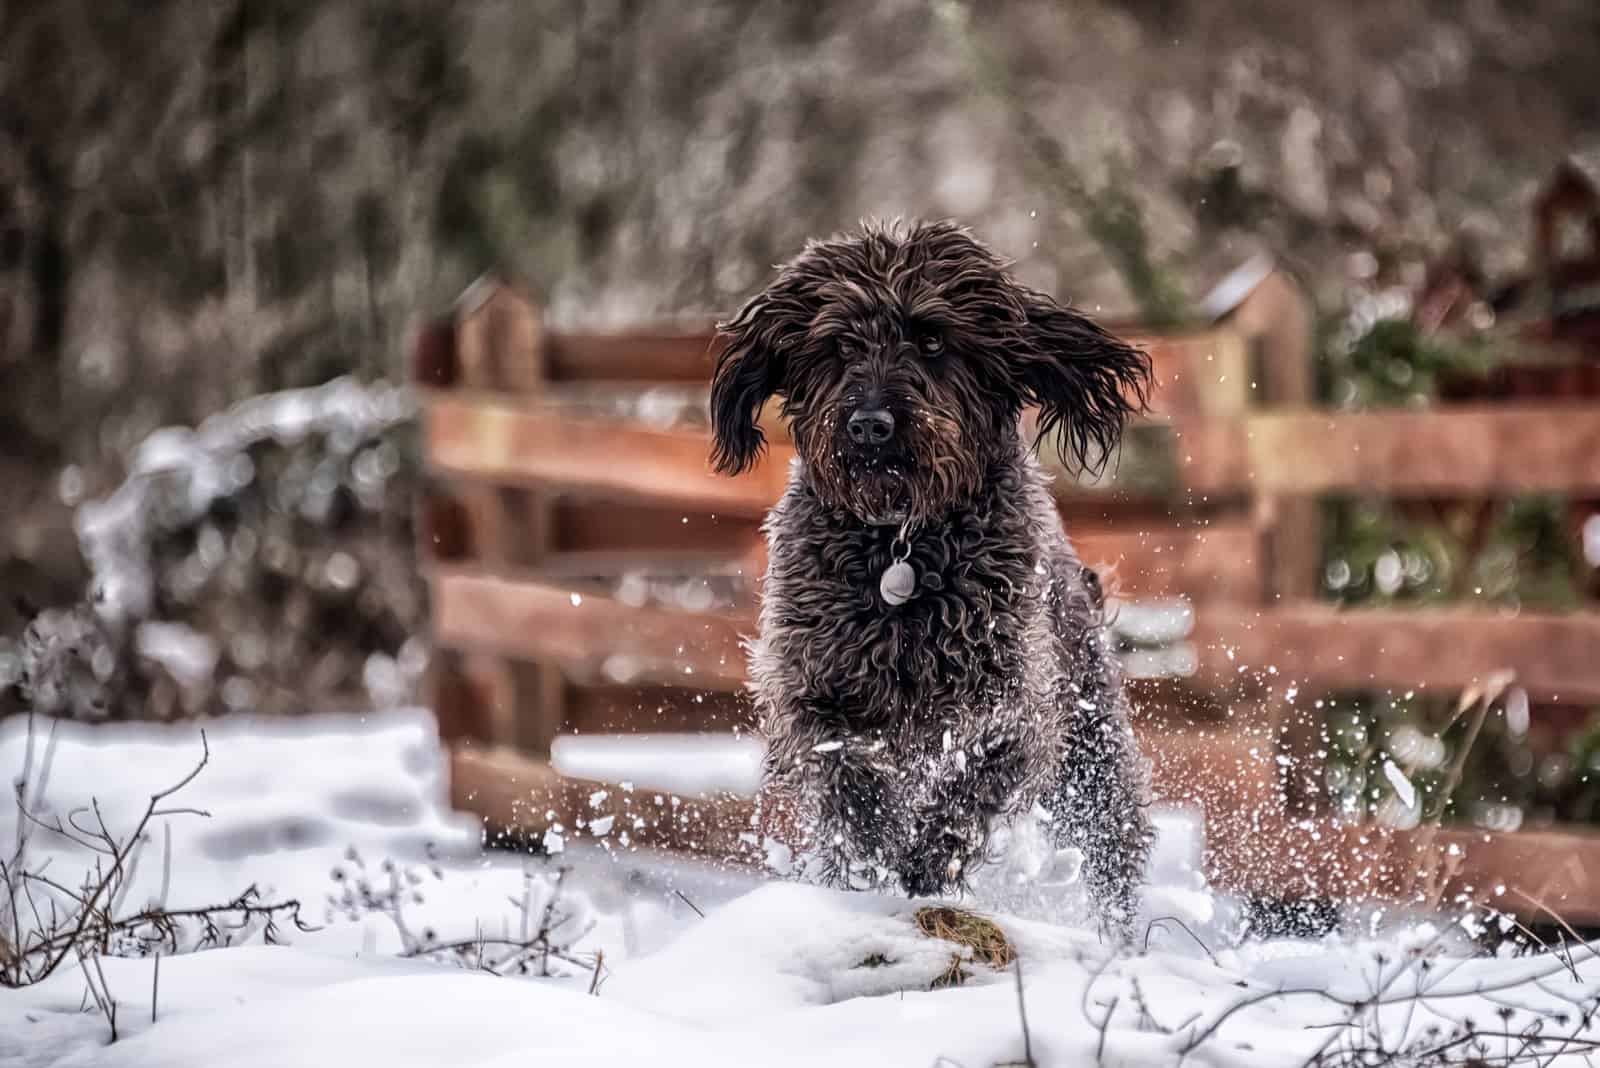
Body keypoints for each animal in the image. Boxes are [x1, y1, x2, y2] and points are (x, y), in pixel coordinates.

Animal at [710, 219, 1152, 933]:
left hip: (1094, 754)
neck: (901, 544)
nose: (869, 425)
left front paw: (926, 862)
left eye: (935, 339)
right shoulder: (814, 688)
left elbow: (976, 779)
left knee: (1112, 858)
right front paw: (873, 854)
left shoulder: (1014, 705)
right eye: (839, 344)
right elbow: (846, 776)